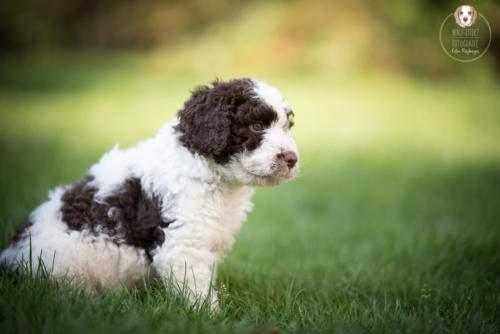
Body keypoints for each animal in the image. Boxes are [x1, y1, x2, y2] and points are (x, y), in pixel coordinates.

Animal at [0, 78, 296, 308]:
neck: (208, 169)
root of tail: (9, 263)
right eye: (256, 126)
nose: (292, 159)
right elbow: (196, 287)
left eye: (287, 126)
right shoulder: (183, 242)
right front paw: (211, 317)